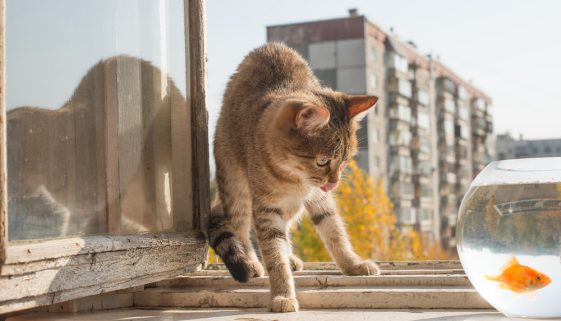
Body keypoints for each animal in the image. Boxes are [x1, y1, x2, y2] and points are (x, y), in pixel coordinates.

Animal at [211, 41, 380, 312]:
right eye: (322, 161)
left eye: (345, 161)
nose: (334, 183)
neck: (293, 178)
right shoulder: (266, 209)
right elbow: (273, 254)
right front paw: (282, 294)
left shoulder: (319, 200)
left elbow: (335, 232)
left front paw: (351, 263)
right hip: (235, 186)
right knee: (240, 227)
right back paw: (252, 261)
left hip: (291, 207)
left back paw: (290, 256)